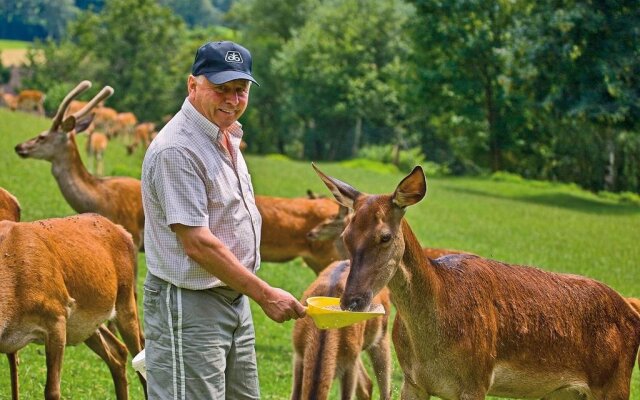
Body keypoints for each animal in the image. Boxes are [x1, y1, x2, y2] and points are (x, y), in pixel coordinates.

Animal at [0, 212, 146, 400]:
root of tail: (123, 230)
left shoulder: (57, 316)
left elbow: (52, 390)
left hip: (126, 298)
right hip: (86, 324)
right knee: (118, 351)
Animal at [292, 260, 392, 400]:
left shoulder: (350, 363)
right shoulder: (298, 354)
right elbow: (295, 394)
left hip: (381, 334)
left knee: (385, 388)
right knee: (367, 384)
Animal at [314, 162, 640, 400]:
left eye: (385, 236)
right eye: (346, 235)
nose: (352, 300)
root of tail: (631, 310)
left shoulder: (476, 379)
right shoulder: (413, 381)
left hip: (615, 382)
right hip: (565, 394)